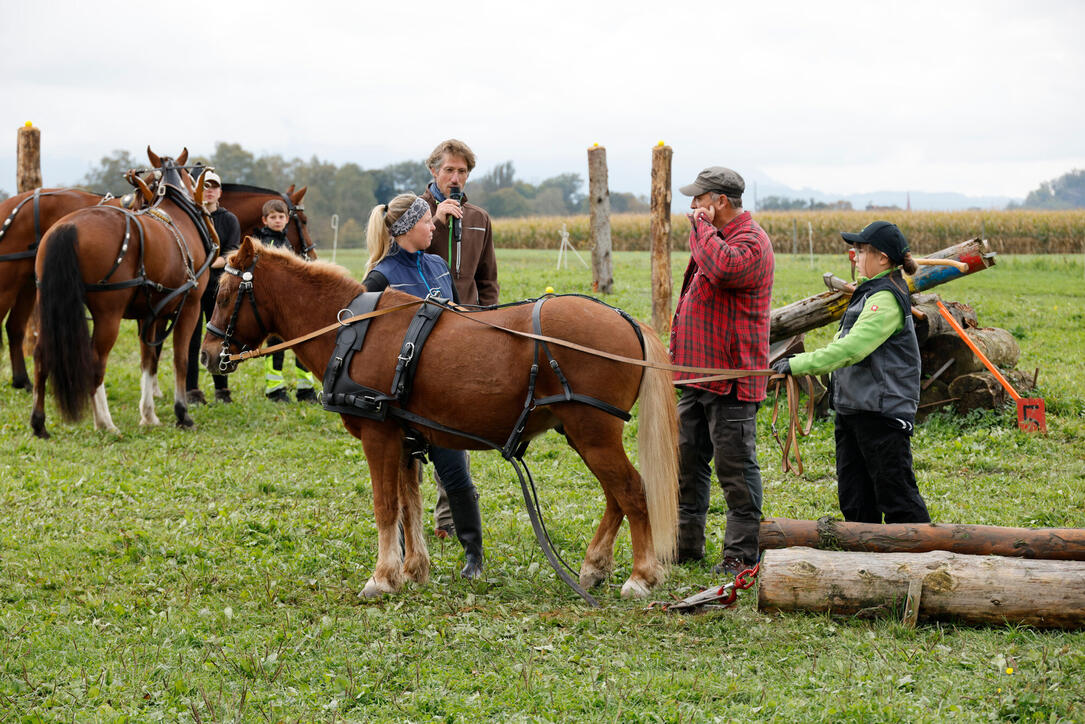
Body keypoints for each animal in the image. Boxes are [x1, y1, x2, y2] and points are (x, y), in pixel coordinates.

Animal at [30, 149, 217, 438]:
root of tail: (68, 227)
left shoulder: (150, 314)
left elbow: (148, 360)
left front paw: (149, 415)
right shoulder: (190, 307)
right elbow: (180, 359)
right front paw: (182, 413)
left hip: (47, 305)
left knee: (41, 355)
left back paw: (39, 423)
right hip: (109, 315)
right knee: (96, 361)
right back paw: (104, 423)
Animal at [201, 240, 677, 603]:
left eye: (224, 295)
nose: (206, 354)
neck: (352, 332)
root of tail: (627, 320)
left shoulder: (378, 434)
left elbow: (385, 505)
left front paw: (381, 577)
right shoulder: (403, 436)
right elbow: (408, 504)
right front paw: (412, 570)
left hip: (593, 434)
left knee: (632, 492)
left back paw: (640, 576)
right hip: (584, 435)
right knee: (616, 496)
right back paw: (595, 566)